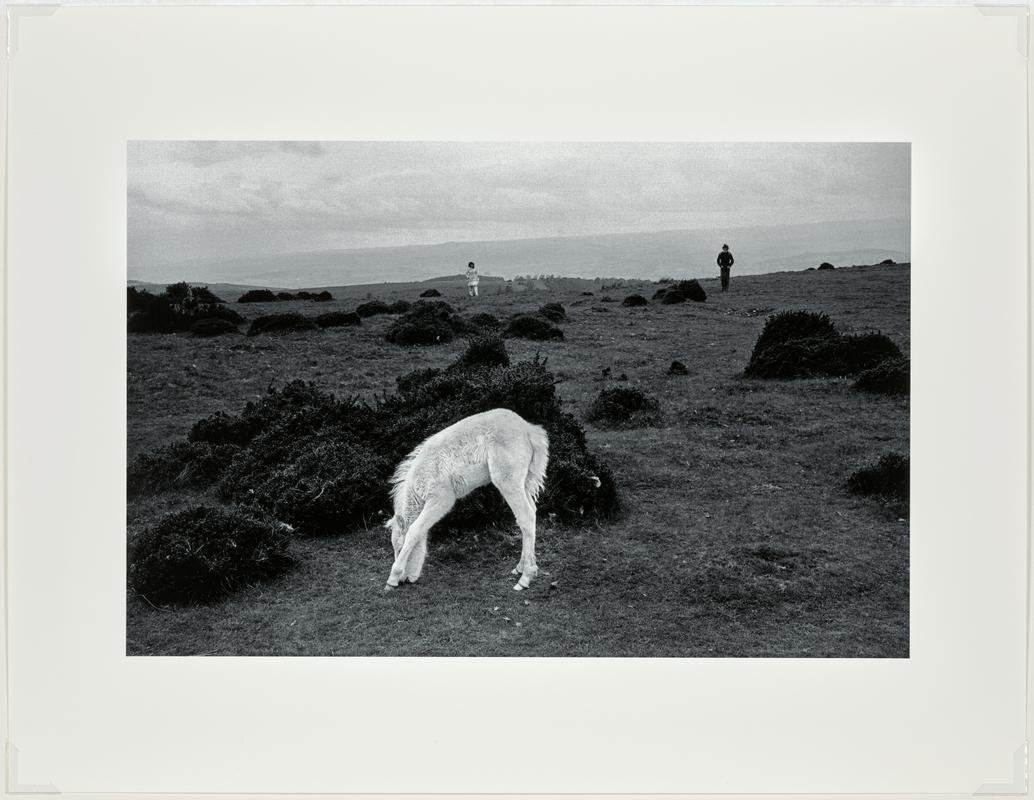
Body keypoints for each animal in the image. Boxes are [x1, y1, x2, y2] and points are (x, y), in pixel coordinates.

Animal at [384, 411, 550, 591]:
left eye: (400, 548)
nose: (404, 579)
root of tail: (529, 430)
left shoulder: (441, 498)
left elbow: (415, 530)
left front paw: (392, 578)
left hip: (508, 481)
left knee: (526, 516)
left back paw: (525, 578)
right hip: (523, 482)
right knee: (531, 513)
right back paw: (521, 568)